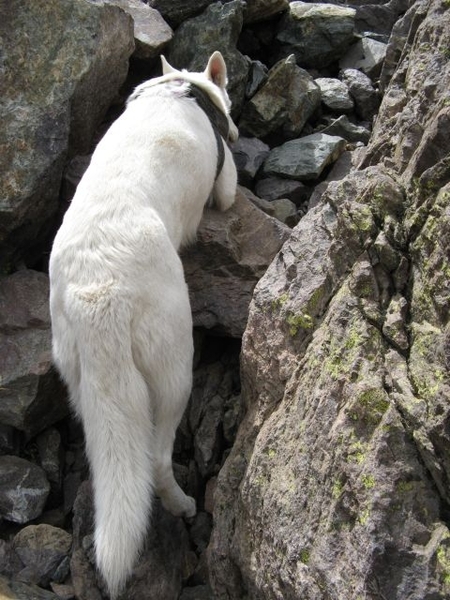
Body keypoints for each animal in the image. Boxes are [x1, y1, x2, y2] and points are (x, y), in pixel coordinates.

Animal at [48, 54, 239, 596]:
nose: (238, 129)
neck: (182, 88)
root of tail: (98, 296)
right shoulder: (226, 184)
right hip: (175, 363)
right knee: (156, 458)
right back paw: (183, 505)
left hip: (81, 376)